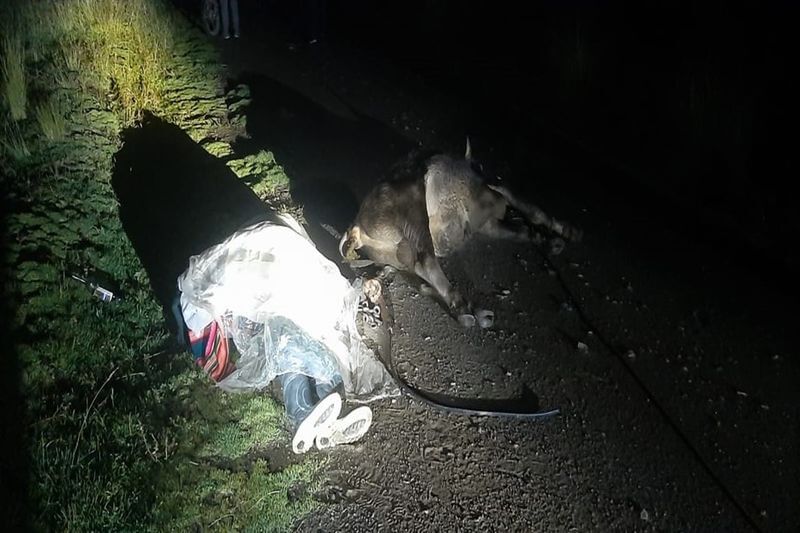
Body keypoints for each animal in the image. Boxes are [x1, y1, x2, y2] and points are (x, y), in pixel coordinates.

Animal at [340, 139, 580, 326]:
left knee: (417, 269)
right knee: (426, 261)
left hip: (399, 251)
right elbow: (529, 209)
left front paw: (552, 241)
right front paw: (565, 233)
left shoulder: (489, 223)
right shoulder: (491, 198)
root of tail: (356, 229)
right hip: (414, 216)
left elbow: (522, 230)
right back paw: (470, 311)